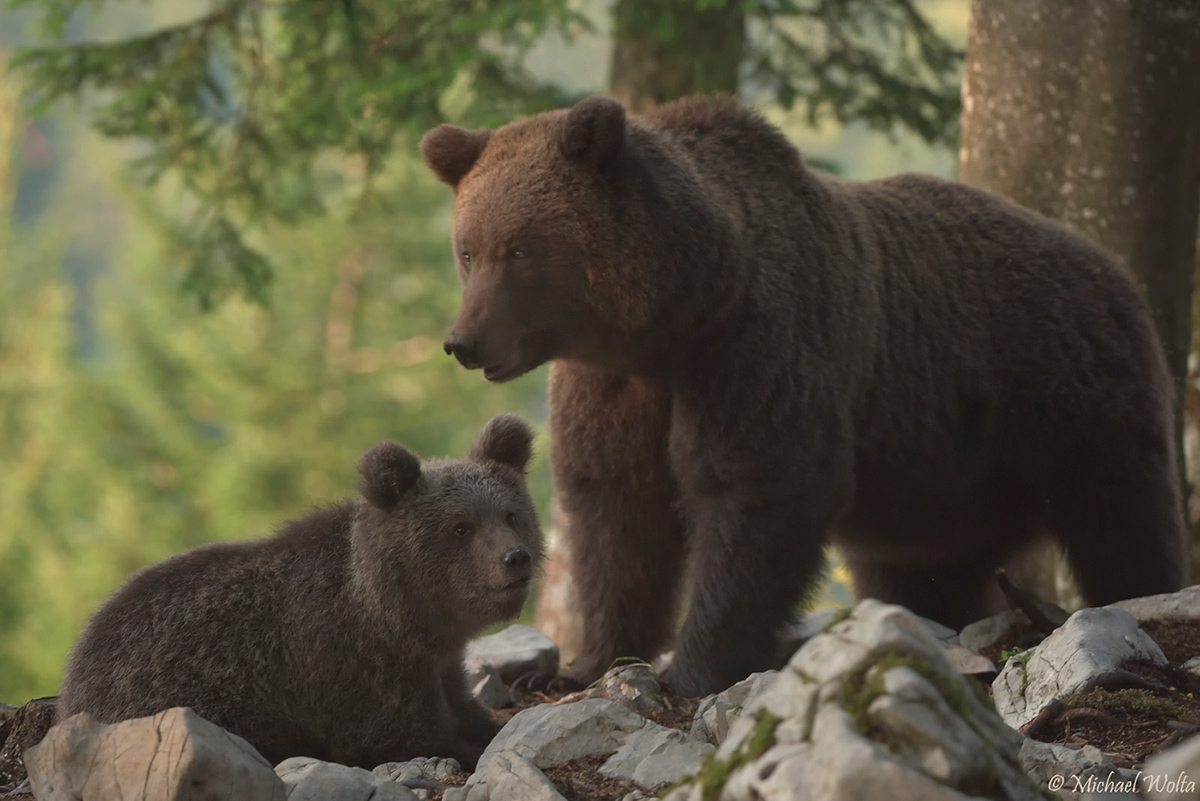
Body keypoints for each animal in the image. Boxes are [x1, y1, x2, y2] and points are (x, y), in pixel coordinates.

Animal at [417, 92, 1185, 695]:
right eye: (468, 249)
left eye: (519, 249)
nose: (464, 341)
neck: (670, 318)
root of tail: (1109, 267)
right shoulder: (614, 390)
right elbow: (619, 513)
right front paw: (578, 666)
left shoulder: (753, 349)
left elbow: (759, 493)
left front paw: (693, 667)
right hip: (942, 483)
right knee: (925, 572)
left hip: (1065, 396)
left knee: (1121, 518)